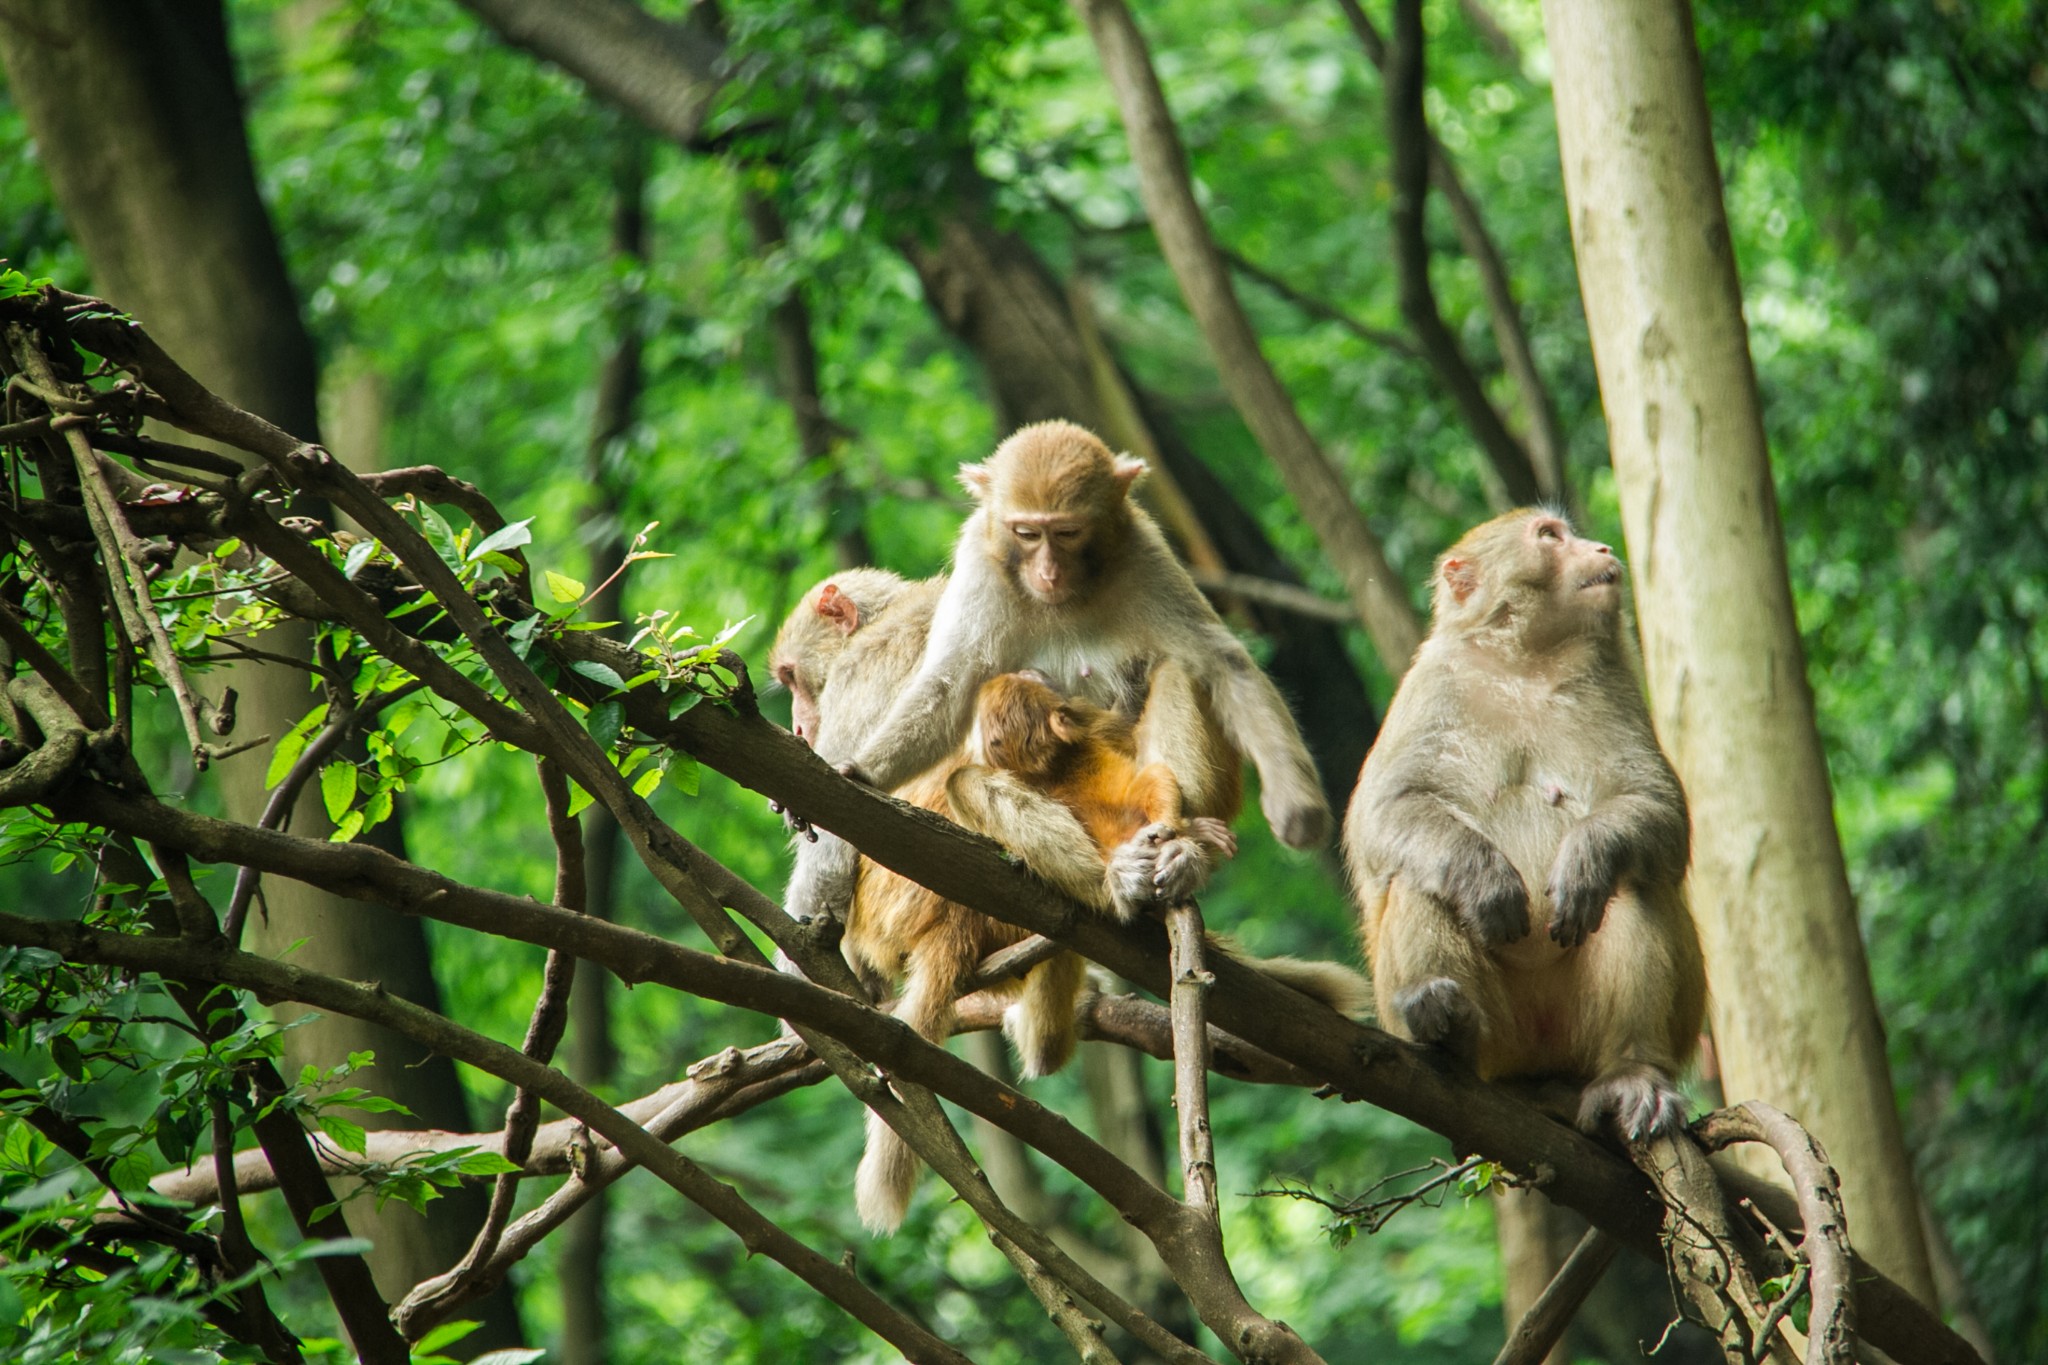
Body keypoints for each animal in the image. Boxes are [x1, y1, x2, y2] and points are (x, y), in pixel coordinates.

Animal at [839, 421, 1335, 859]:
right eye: (1027, 533)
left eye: (1068, 532)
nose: (1048, 572)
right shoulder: (979, 558)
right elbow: (950, 680)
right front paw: (862, 772)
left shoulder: (1143, 552)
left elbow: (1220, 662)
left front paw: (1296, 804)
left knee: (1180, 672)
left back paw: (1184, 848)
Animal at [1343, 507, 1712, 1137]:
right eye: (1549, 537)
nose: (1600, 547)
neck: (1526, 664)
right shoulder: (1431, 684)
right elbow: (1386, 810)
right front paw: (1482, 876)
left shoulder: (1612, 681)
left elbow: (1659, 807)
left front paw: (1587, 857)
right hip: (1504, 1038)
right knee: (1420, 874)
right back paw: (1446, 1024)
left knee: (1630, 884)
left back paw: (1632, 1072)